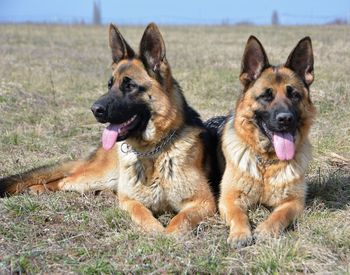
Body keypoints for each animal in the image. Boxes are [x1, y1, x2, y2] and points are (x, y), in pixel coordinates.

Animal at [0, 24, 217, 235]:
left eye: (130, 86)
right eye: (109, 85)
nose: (94, 110)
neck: (153, 153)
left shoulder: (204, 202)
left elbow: (181, 220)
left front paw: (168, 235)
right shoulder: (129, 200)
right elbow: (141, 213)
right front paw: (155, 230)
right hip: (98, 177)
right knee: (65, 180)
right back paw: (38, 187)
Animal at [215, 35, 316, 247]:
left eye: (294, 95)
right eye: (265, 96)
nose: (285, 119)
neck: (266, 163)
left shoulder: (294, 202)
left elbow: (279, 215)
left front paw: (266, 230)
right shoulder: (228, 199)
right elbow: (239, 215)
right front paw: (240, 234)